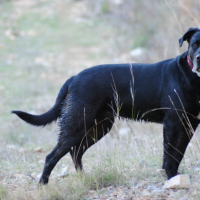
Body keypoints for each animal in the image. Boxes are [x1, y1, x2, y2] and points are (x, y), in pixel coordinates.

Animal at [12, 27, 200, 184]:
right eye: (194, 44)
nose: (199, 58)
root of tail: (73, 78)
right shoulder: (173, 123)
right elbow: (170, 154)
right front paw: (171, 178)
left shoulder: (189, 124)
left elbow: (178, 153)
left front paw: (174, 176)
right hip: (76, 125)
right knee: (52, 157)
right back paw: (42, 185)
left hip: (99, 127)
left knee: (76, 151)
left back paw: (83, 178)